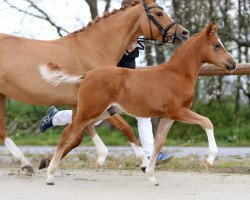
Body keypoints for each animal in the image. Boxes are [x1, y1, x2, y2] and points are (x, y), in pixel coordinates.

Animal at [0, 0, 188, 173]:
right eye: (158, 13)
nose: (184, 33)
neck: (94, 49)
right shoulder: (101, 102)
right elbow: (125, 128)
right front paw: (142, 162)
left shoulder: (80, 105)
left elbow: (77, 137)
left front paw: (48, 161)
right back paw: (25, 163)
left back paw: (27, 161)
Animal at [40, 22, 235, 185]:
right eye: (217, 45)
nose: (232, 64)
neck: (177, 74)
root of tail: (86, 74)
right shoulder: (178, 111)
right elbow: (207, 122)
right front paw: (209, 161)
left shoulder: (168, 117)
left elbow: (159, 143)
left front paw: (151, 175)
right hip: (91, 110)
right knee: (68, 133)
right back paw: (50, 175)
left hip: (105, 112)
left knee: (85, 128)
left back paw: (100, 159)